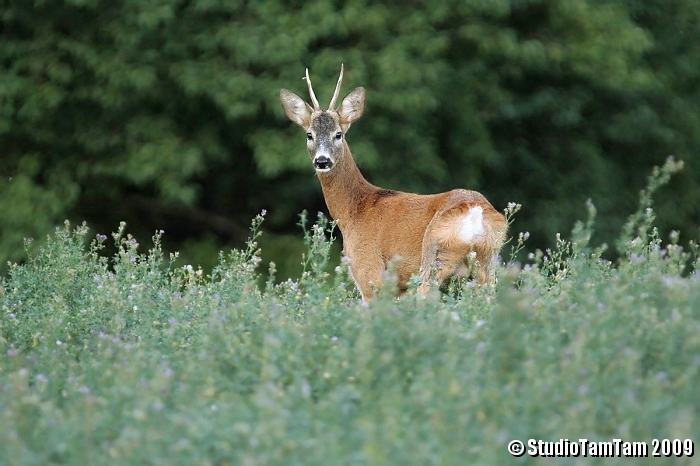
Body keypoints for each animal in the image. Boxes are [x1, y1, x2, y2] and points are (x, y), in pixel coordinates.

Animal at [280, 65, 508, 302]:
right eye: (309, 135)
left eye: (338, 134)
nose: (322, 161)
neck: (355, 212)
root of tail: (475, 213)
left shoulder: (369, 273)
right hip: (487, 264)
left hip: (434, 256)